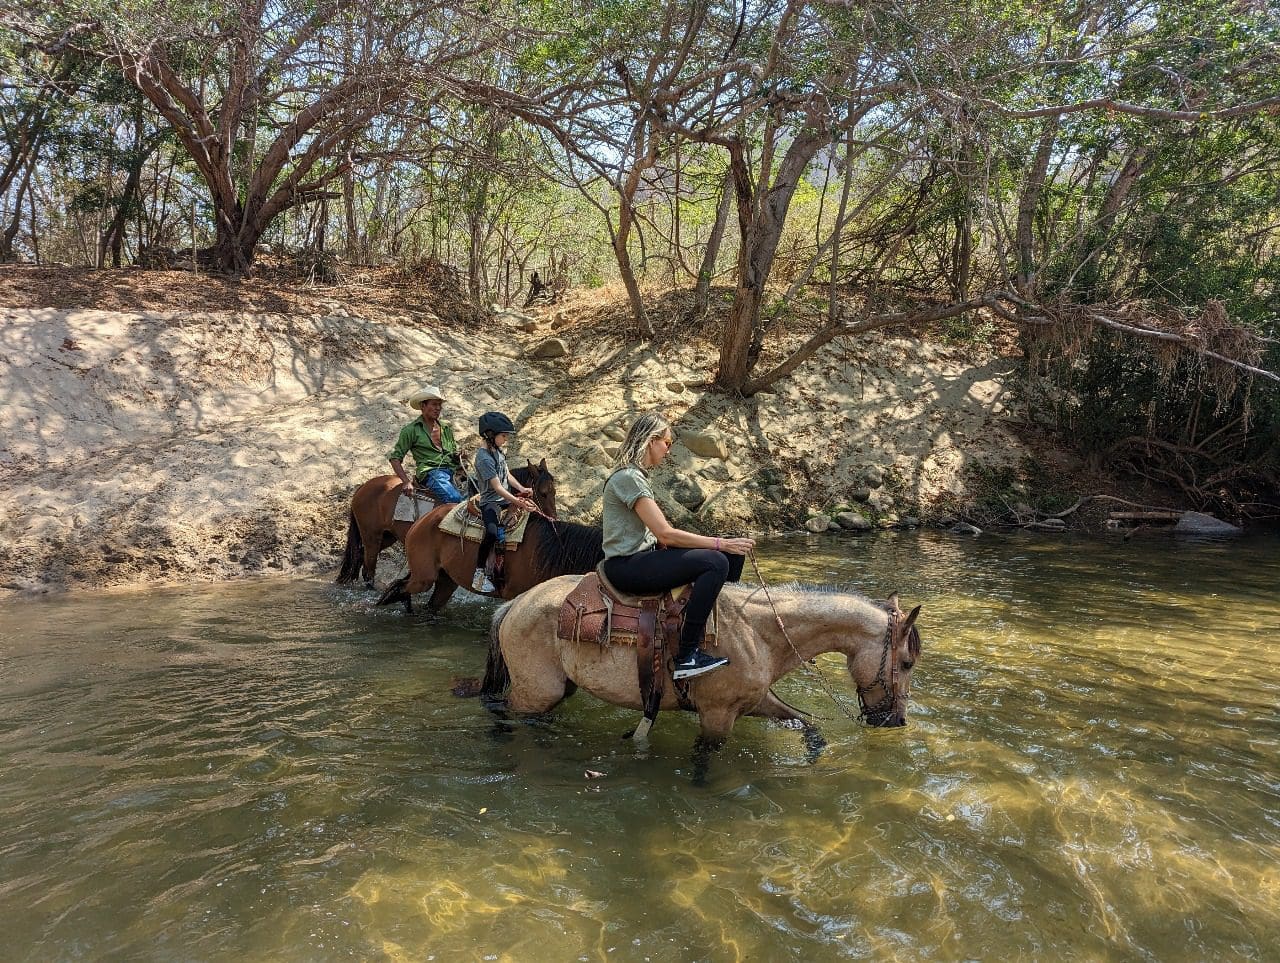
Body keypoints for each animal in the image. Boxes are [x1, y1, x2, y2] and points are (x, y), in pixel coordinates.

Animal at [336, 461, 555, 588]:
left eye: (554, 491)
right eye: (543, 492)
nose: (553, 518)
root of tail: (362, 488)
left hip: (387, 536)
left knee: (359, 557)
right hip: (371, 536)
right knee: (369, 567)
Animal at [480, 575, 923, 746]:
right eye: (906, 663)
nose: (897, 720)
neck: (758, 631)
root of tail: (516, 603)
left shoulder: (758, 702)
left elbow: (807, 725)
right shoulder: (717, 716)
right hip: (534, 692)